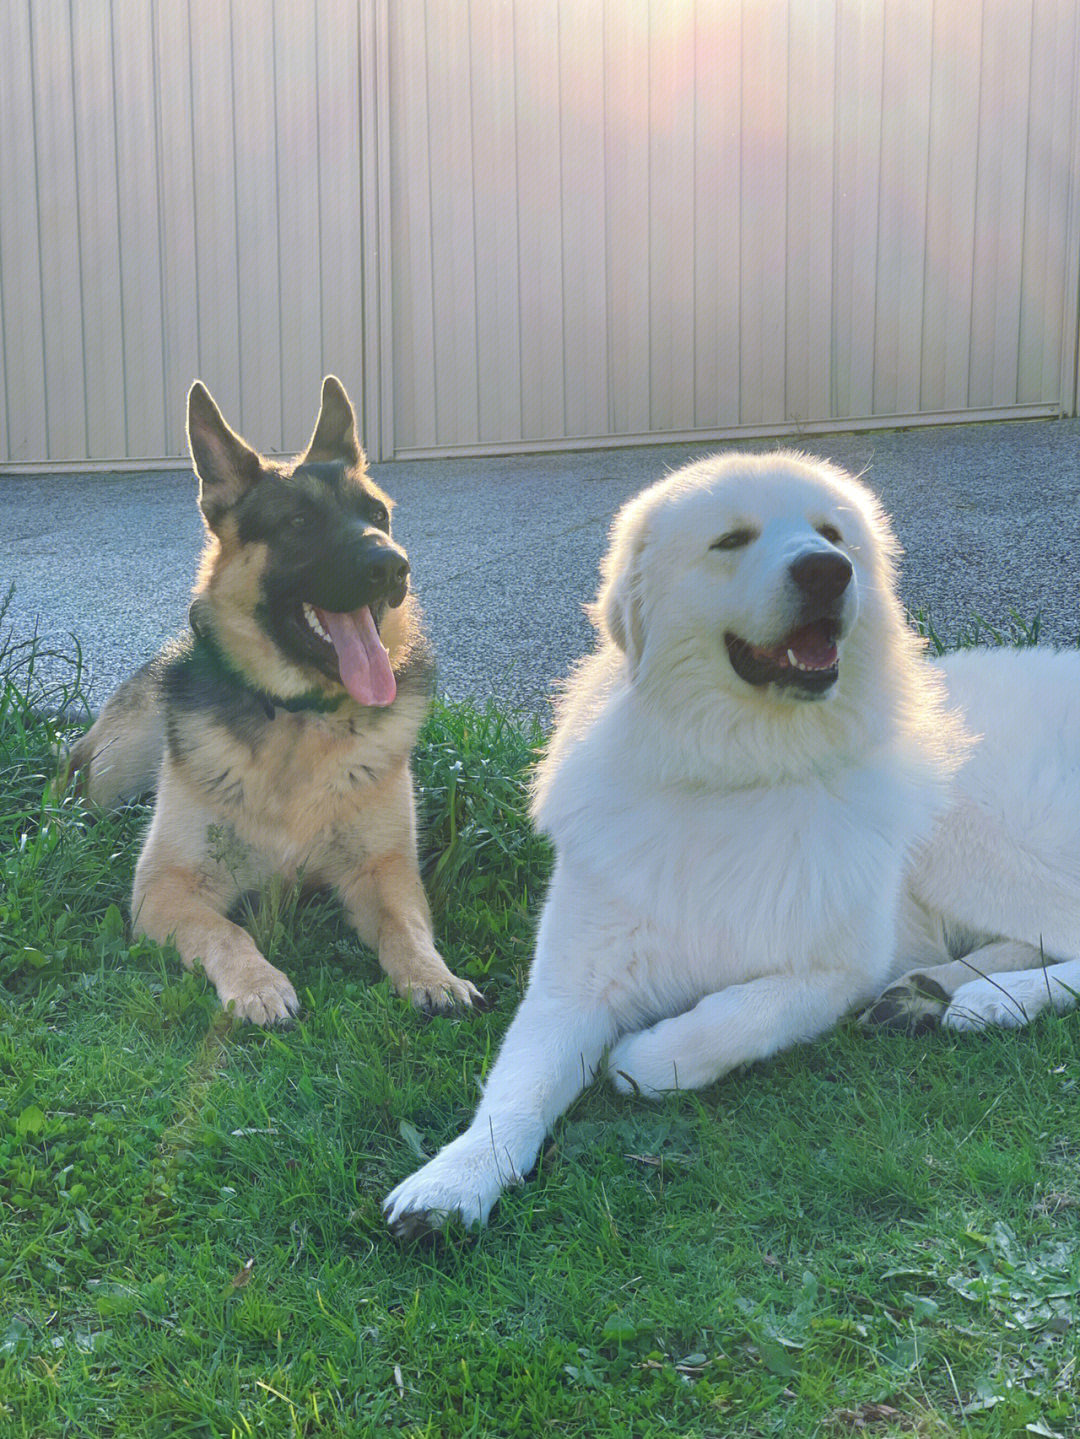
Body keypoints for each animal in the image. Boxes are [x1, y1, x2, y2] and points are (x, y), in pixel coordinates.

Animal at [69, 371, 483, 1024]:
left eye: (378, 515)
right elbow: (227, 932)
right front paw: (257, 985)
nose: (395, 566)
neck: (298, 719)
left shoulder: (386, 872)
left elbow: (405, 929)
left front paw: (432, 976)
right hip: (112, 776)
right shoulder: (165, 887)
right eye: (298, 524)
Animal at [385, 451, 1080, 1237]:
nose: (828, 570)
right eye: (730, 540)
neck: (742, 766)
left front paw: (642, 1052)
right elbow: (515, 1092)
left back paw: (997, 1001)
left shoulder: (834, 970)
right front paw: (452, 1182)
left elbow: (717, 1028)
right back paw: (932, 991)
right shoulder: (571, 984)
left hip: (967, 829)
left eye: (831, 533)